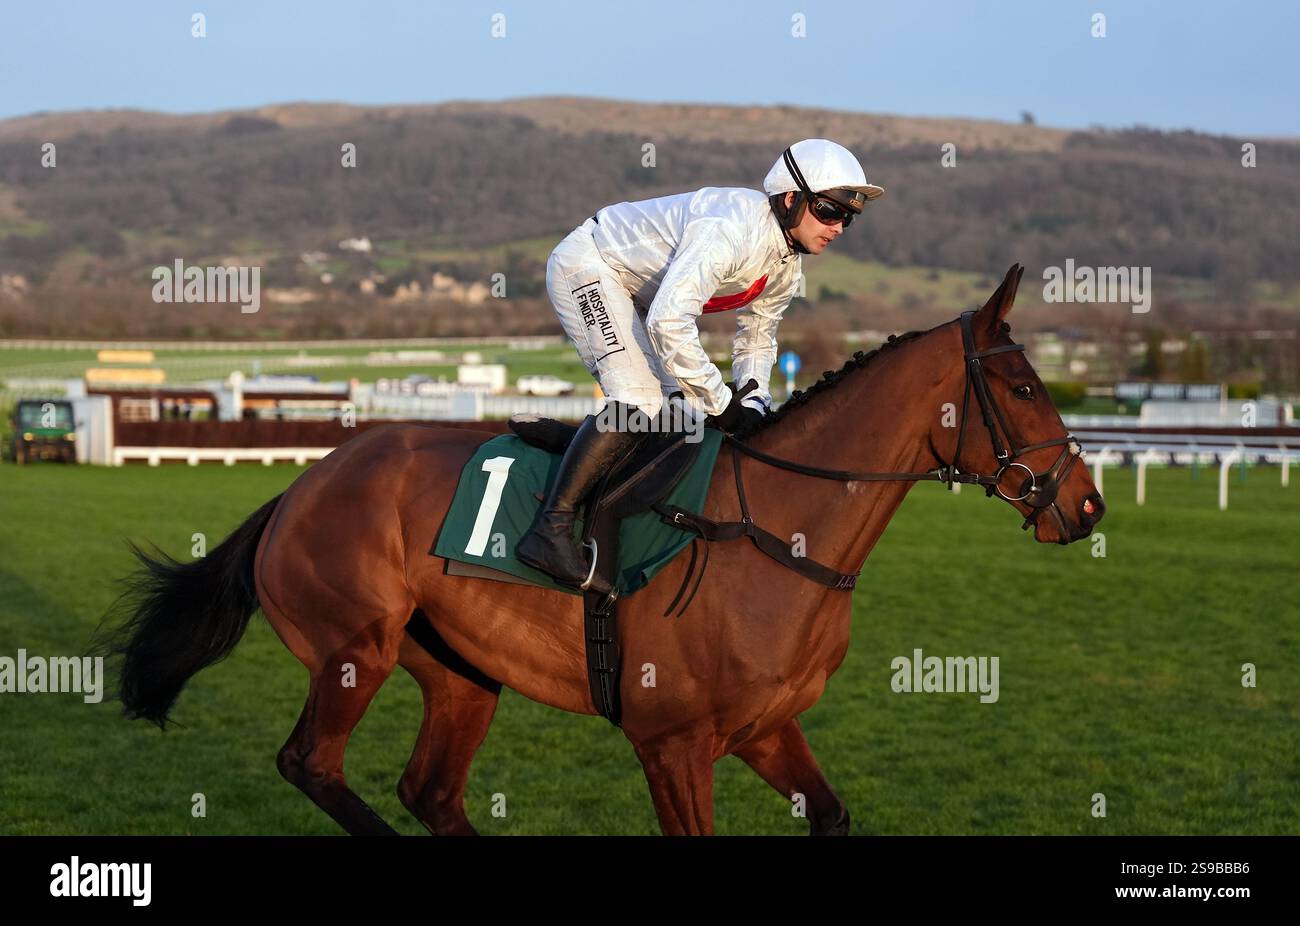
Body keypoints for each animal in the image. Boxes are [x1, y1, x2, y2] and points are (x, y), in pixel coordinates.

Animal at [104, 264, 1107, 837]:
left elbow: (831, 815)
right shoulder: (673, 743)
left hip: (462, 672)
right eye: (1023, 386)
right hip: (356, 650)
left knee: (431, 792)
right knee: (311, 765)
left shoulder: (766, 727)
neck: (779, 533)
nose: (1087, 504)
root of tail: (299, 487)